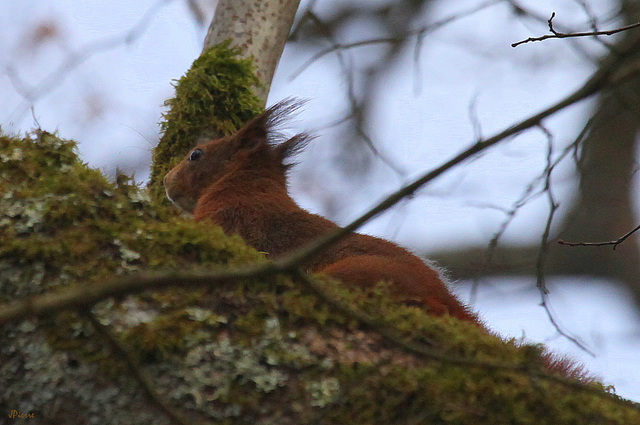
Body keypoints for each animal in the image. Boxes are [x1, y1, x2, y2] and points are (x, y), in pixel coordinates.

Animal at [165, 100, 480, 324]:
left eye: (196, 154)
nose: (167, 181)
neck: (245, 185)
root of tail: (443, 294)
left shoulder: (229, 218)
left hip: (360, 272)